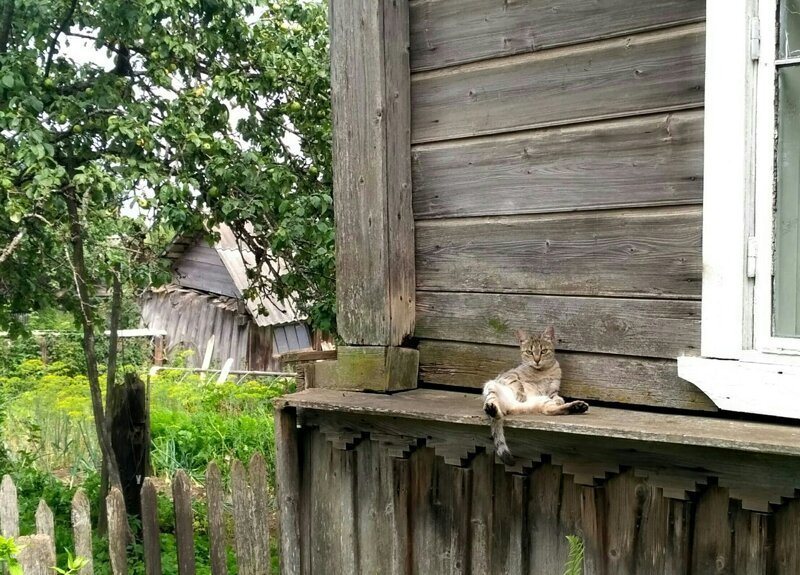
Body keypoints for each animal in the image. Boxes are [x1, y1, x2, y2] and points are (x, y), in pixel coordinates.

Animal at [482, 326, 588, 466]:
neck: (541, 372)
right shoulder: (508, 375)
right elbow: (517, 382)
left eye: (543, 351)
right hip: (491, 388)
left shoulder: (551, 392)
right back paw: (492, 409)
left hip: (542, 401)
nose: (537, 360)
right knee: (496, 413)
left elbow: (556, 396)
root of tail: (513, 407)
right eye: (529, 352)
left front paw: (559, 400)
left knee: (551, 410)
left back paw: (577, 407)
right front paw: (521, 393)